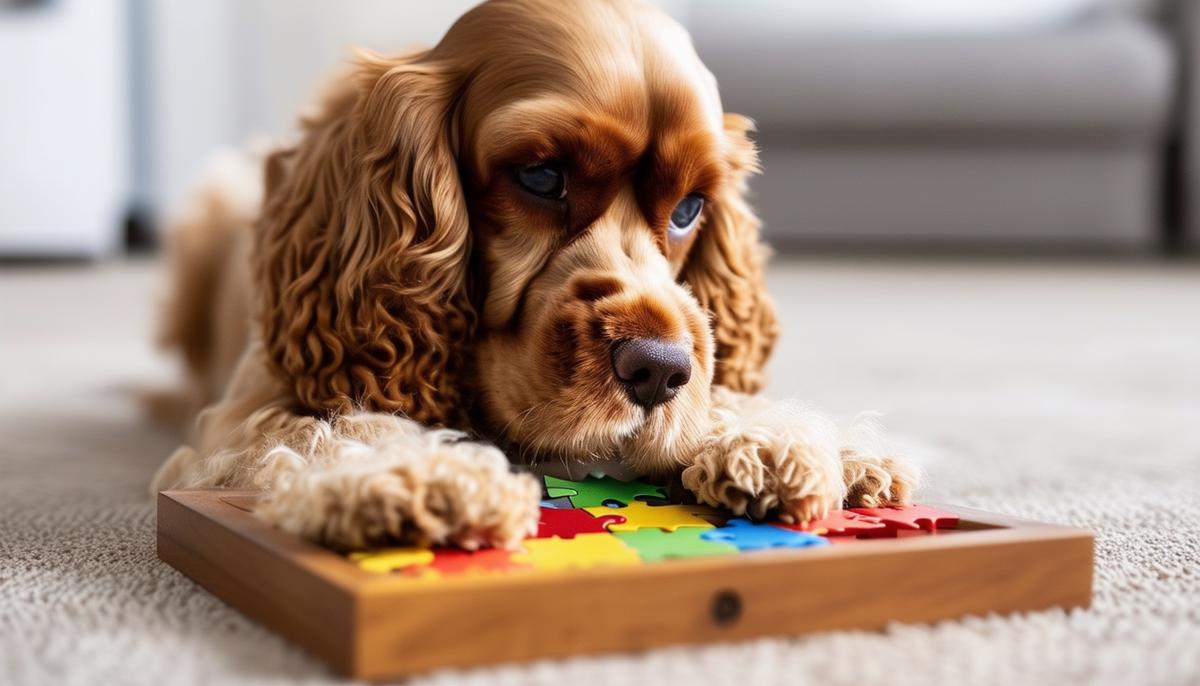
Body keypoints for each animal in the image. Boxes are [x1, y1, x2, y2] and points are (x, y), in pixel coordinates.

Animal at [152, 0, 916, 549]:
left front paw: (798, 443)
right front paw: (415, 474)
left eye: (690, 208)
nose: (658, 370)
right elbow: (324, 428)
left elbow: (723, 389)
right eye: (542, 176)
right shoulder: (243, 413)